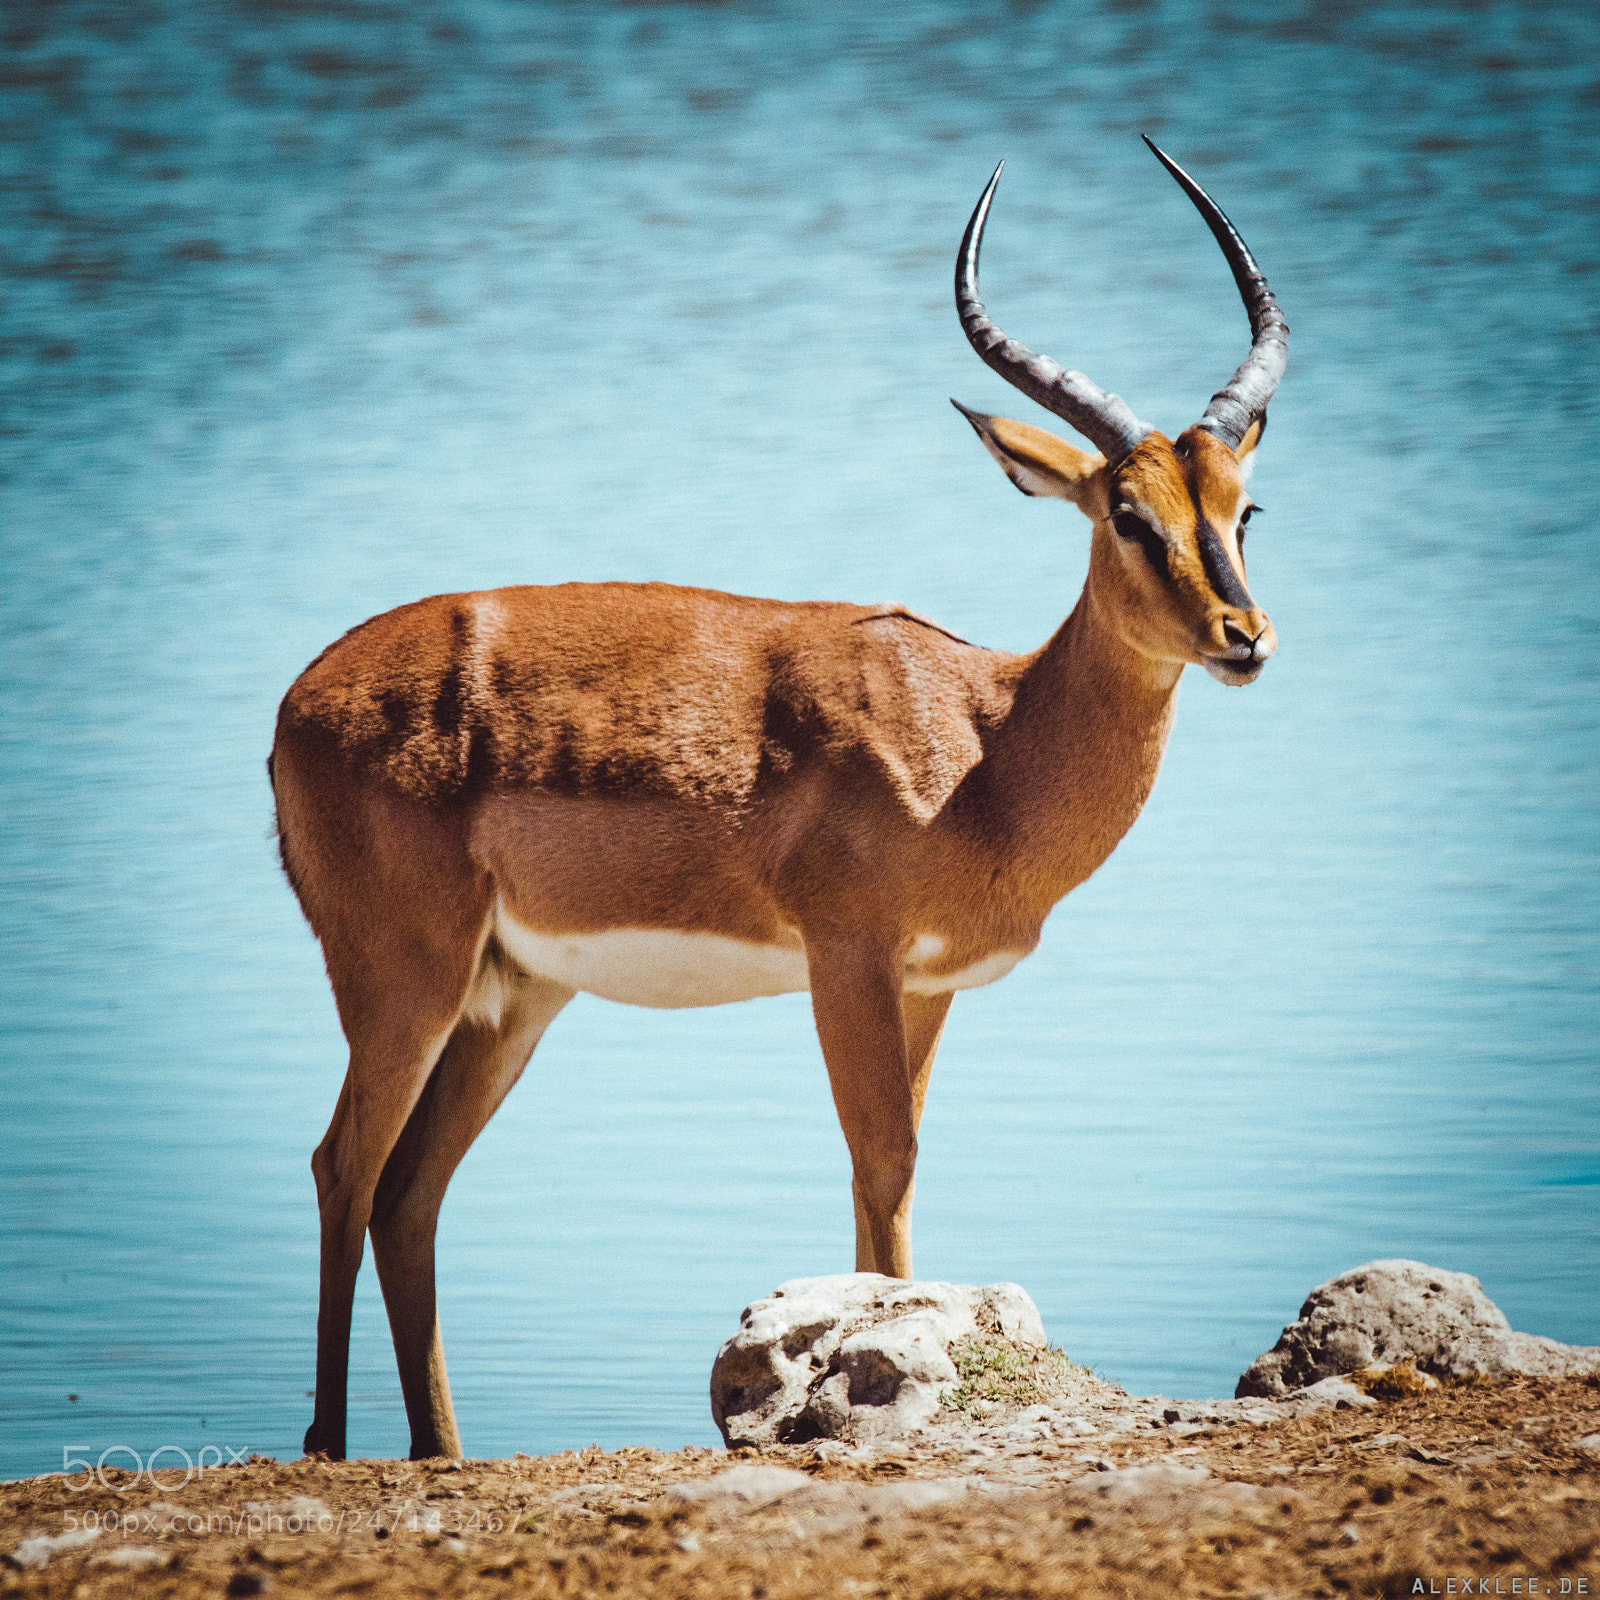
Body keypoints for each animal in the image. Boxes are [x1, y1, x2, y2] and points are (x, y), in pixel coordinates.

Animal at [271, 136, 1288, 1462]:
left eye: (1241, 508)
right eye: (1127, 514)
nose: (1243, 638)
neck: (983, 739)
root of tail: (297, 699)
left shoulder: (925, 984)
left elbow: (884, 1172)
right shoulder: (845, 955)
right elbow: (883, 1161)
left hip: (512, 995)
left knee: (407, 1192)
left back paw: (440, 1448)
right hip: (404, 976)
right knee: (342, 1165)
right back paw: (329, 1443)